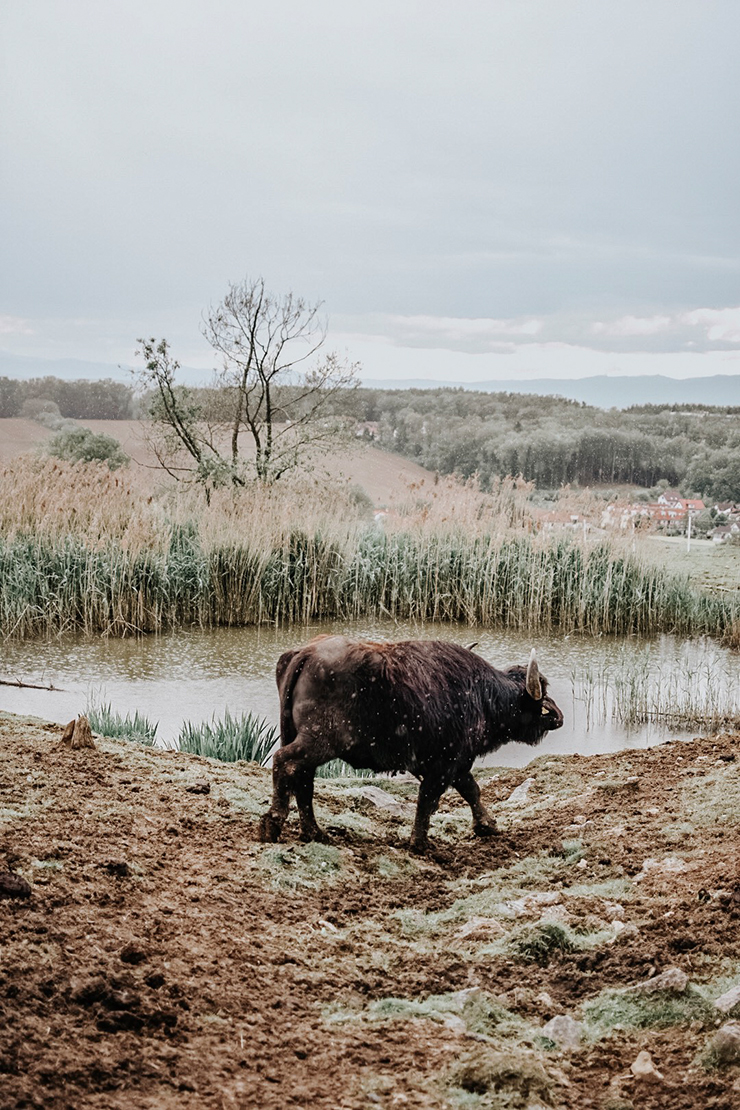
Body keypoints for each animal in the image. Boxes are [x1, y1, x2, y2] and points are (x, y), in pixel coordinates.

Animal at [257, 639, 563, 852]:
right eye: (540, 694)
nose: (557, 717)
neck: (480, 694)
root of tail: (305, 653)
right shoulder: (444, 765)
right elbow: (429, 800)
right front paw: (421, 843)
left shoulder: (452, 765)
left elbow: (470, 790)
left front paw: (487, 826)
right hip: (317, 743)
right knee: (285, 763)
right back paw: (272, 825)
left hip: (299, 739)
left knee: (302, 779)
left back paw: (315, 833)